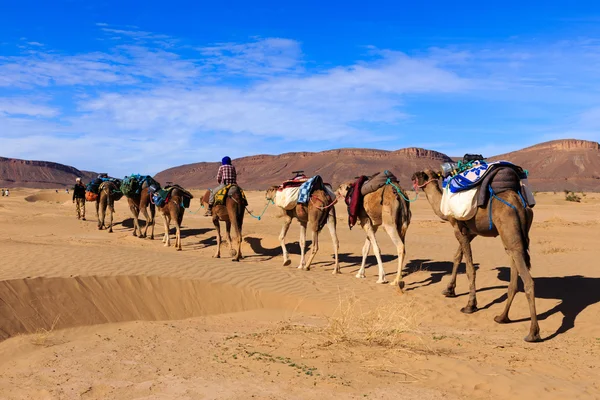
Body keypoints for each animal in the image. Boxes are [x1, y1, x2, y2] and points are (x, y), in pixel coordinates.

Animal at [412, 168, 540, 340]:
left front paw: (470, 305)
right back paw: (502, 317)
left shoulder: (458, 229)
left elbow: (470, 268)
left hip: (509, 227)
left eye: (419, 174)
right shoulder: (470, 231)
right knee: (513, 262)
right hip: (514, 235)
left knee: (527, 279)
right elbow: (457, 257)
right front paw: (449, 290)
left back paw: (533, 333)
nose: (411, 177)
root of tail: (520, 204)